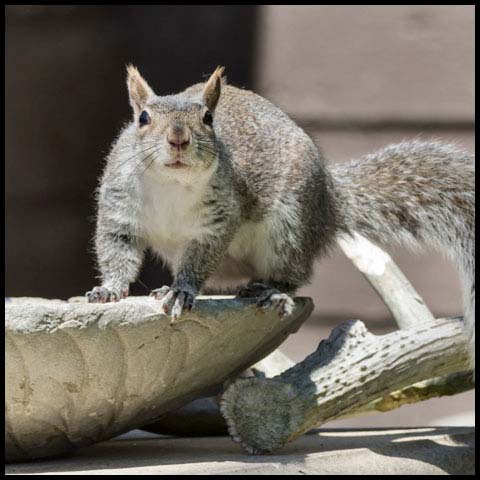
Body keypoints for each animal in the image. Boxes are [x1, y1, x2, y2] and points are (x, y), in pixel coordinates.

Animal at [87, 65, 476, 370]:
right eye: (143, 118)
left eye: (208, 119)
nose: (178, 139)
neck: (172, 184)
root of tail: (328, 202)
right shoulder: (119, 211)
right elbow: (118, 252)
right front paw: (110, 289)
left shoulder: (217, 220)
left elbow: (198, 260)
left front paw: (181, 291)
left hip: (290, 228)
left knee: (294, 275)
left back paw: (272, 292)